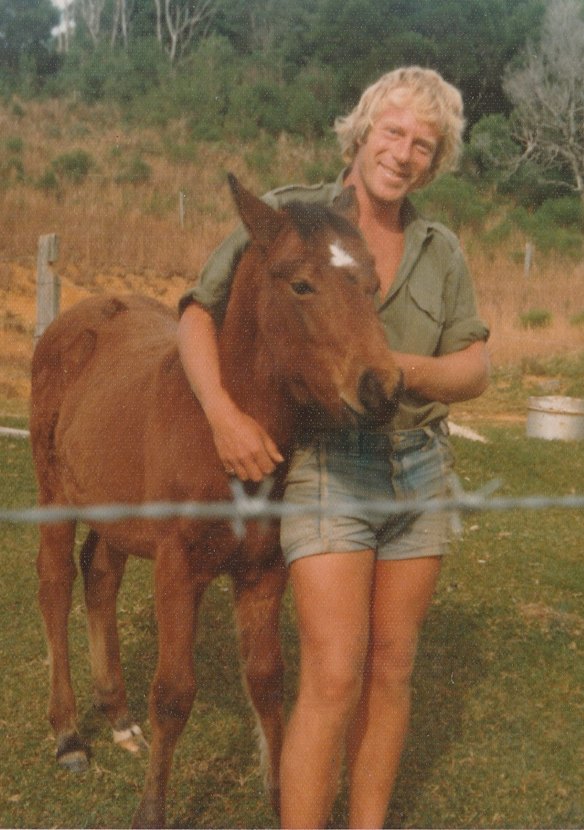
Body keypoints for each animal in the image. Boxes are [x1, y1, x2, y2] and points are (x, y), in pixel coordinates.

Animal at [30, 175, 402, 828]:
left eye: (372, 283)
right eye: (301, 284)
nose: (381, 388)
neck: (225, 435)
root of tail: (72, 320)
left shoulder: (262, 569)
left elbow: (268, 679)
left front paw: (279, 795)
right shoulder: (179, 569)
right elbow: (175, 692)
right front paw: (151, 811)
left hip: (113, 509)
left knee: (98, 574)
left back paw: (118, 715)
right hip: (55, 495)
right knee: (55, 585)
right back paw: (70, 735)